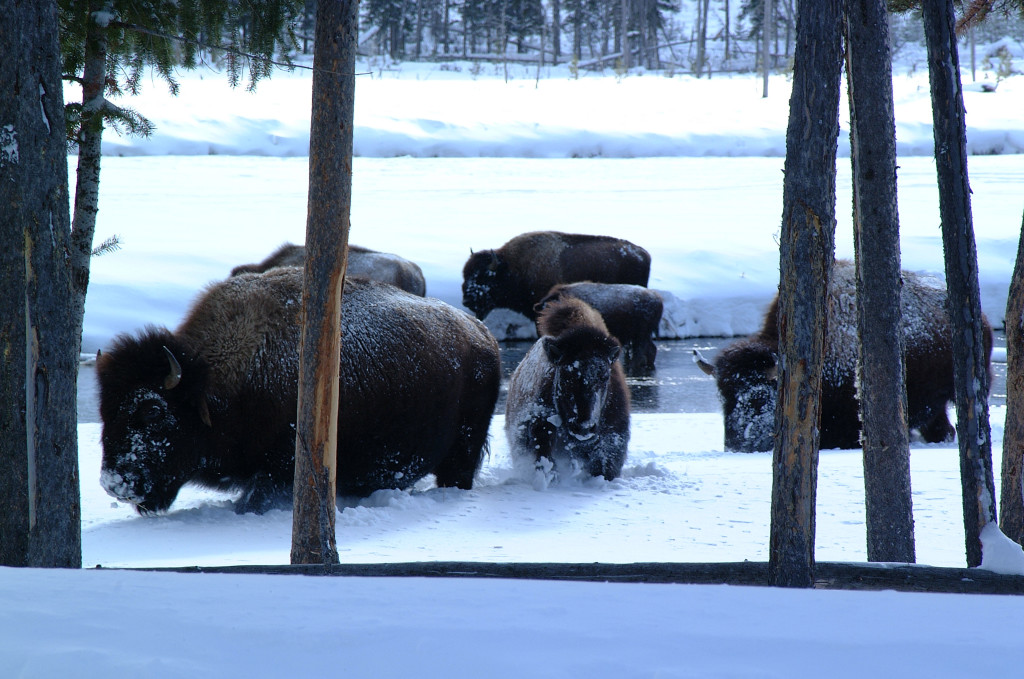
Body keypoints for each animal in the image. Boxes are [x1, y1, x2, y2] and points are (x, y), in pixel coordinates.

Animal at [97, 268, 501, 512]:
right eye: (105, 410)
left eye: (152, 411)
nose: (113, 482)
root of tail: (483, 337)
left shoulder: (278, 470)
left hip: (461, 454)